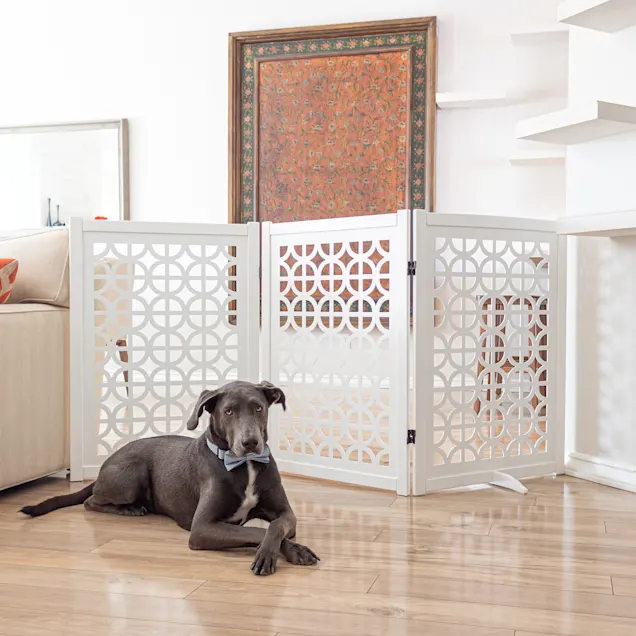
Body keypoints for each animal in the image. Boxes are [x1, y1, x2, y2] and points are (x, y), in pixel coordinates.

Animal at [20, 380, 319, 575]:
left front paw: (295, 550)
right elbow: (255, 530)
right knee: (90, 501)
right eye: (228, 411)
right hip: (132, 476)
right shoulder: (202, 528)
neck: (244, 465)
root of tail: (106, 463)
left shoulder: (286, 513)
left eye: (258, 408)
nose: (250, 442)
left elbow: (275, 526)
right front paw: (275, 553)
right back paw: (130, 509)